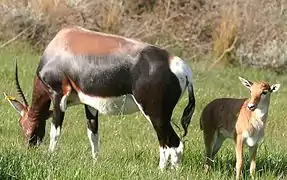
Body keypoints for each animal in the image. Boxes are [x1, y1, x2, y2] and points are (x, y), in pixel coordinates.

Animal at [4, 26, 196, 169]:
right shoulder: (90, 104)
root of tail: (183, 69)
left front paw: (50, 157)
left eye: (23, 122)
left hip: (155, 115)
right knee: (165, 144)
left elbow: (55, 132)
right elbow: (93, 135)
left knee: (174, 144)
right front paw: (95, 163)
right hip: (160, 117)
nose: (29, 148)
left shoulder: (58, 96)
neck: (62, 44)